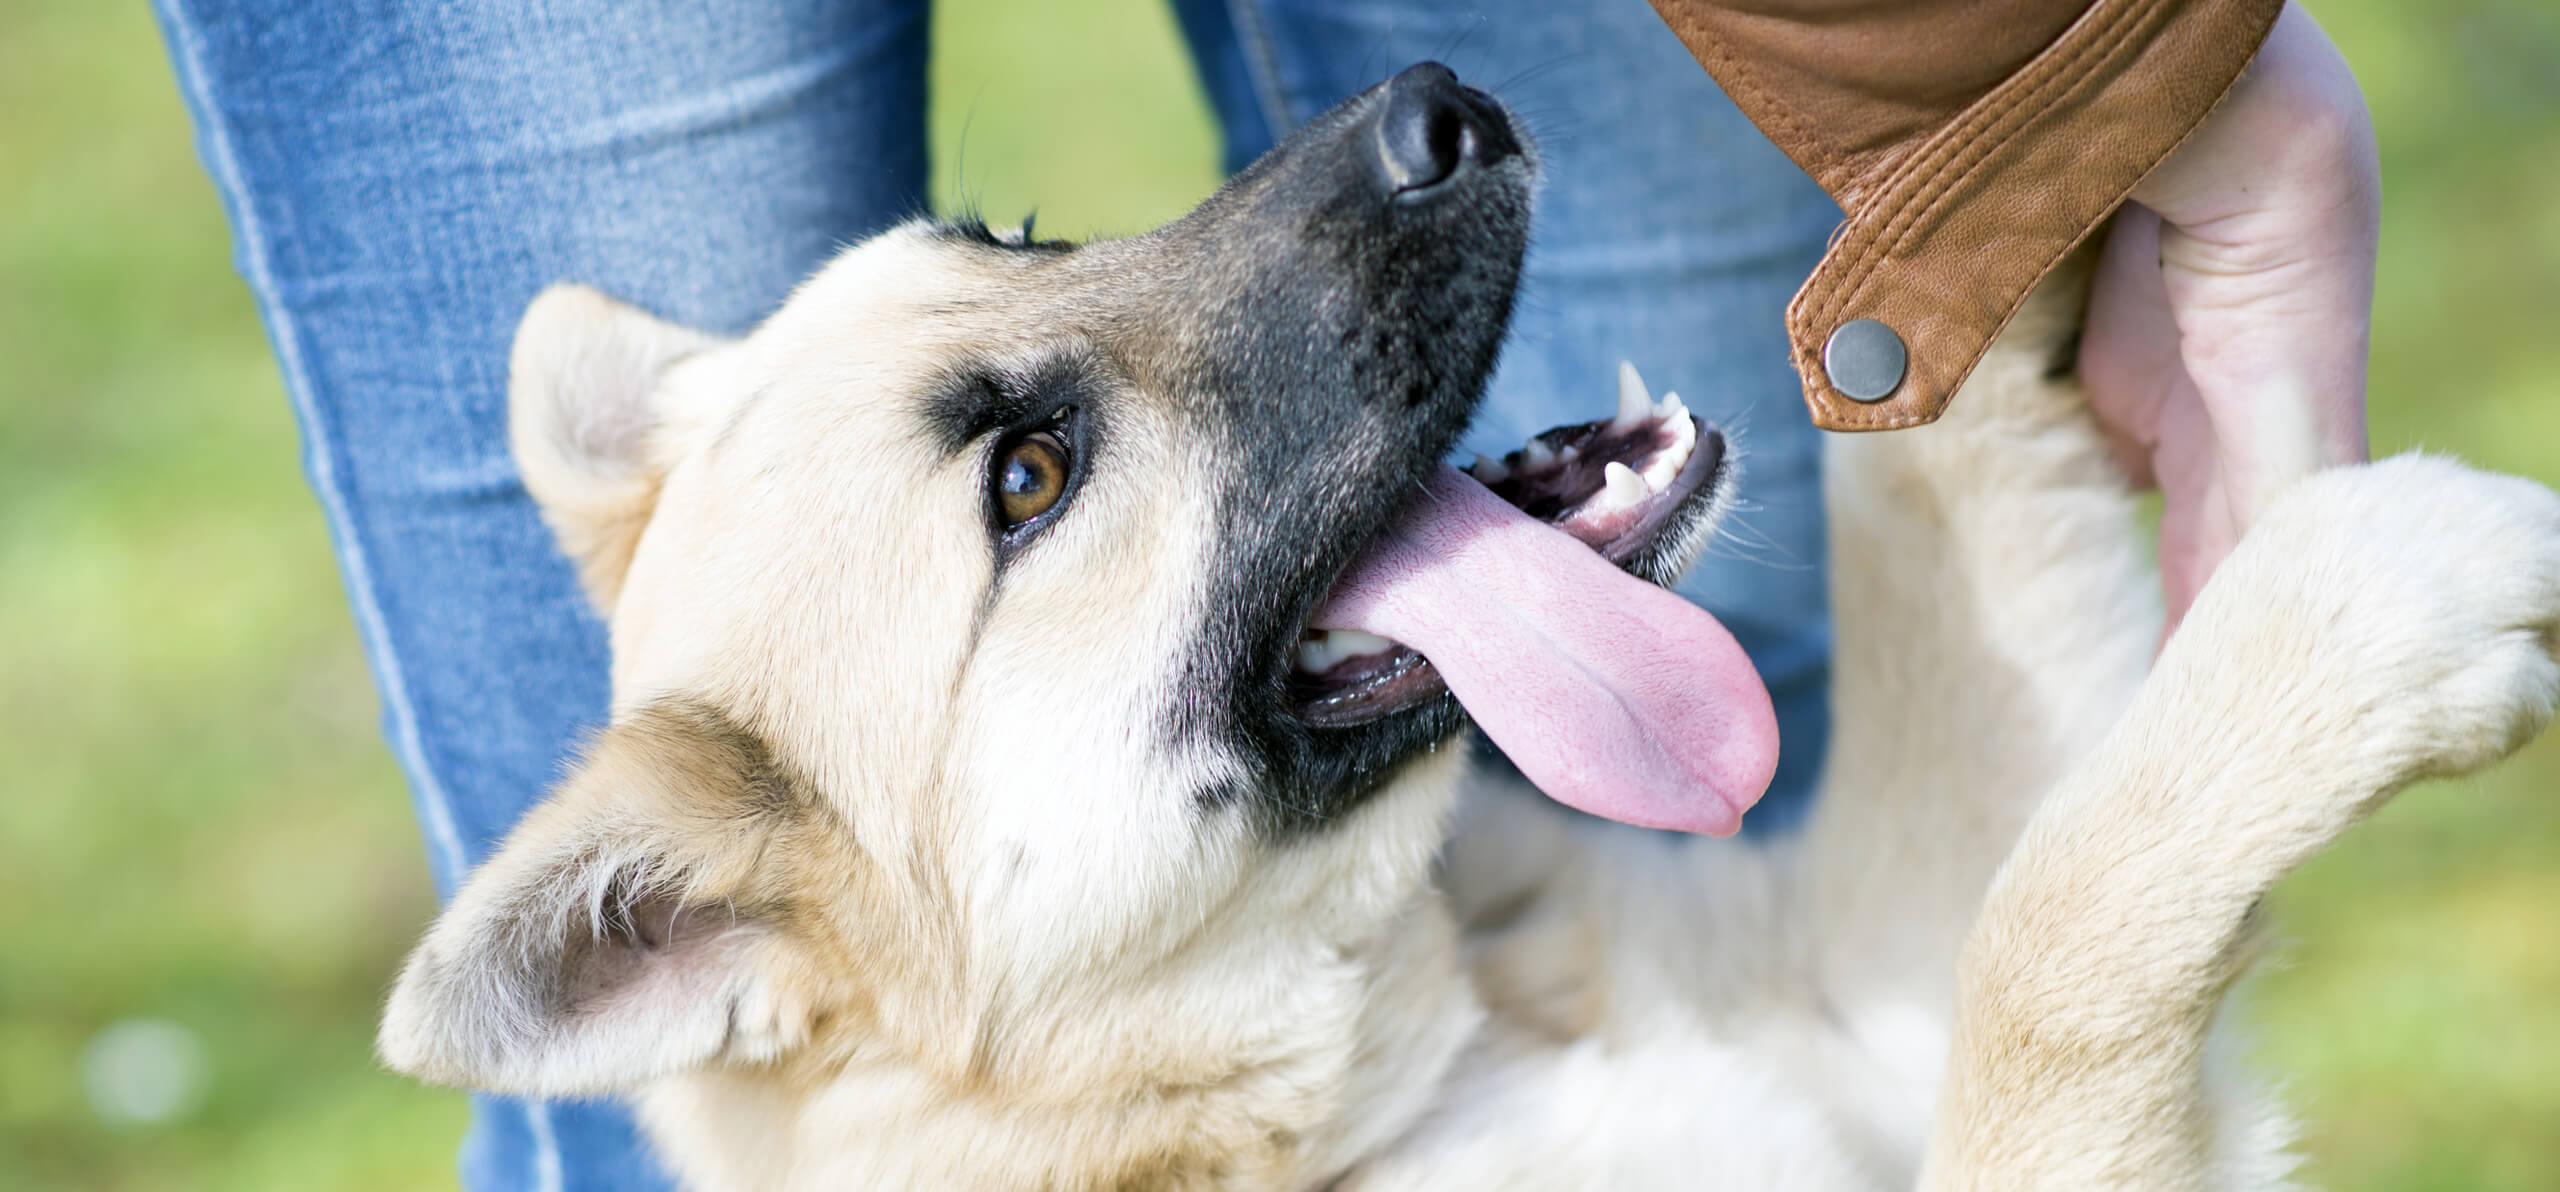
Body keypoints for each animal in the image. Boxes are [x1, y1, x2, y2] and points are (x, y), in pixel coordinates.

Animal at [373, 67, 2560, 1192]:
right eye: (1026, 479)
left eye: (1012, 236)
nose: (1444, 102)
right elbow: (2052, 945)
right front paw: (2369, 605)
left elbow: (1930, 511)